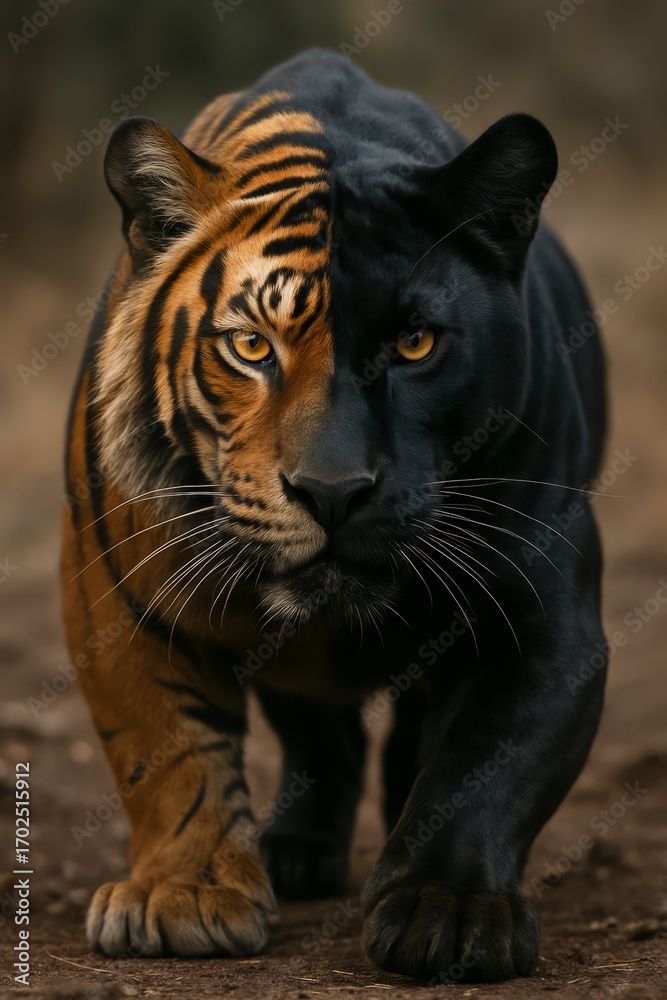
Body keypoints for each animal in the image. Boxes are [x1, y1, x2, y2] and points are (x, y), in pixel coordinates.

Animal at [61, 49, 607, 982]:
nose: (330, 490)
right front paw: (187, 895)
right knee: (318, 731)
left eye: (416, 343)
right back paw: (296, 849)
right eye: (252, 346)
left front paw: (445, 909)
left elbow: (483, 769)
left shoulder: (545, 619)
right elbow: (167, 749)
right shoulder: (117, 595)